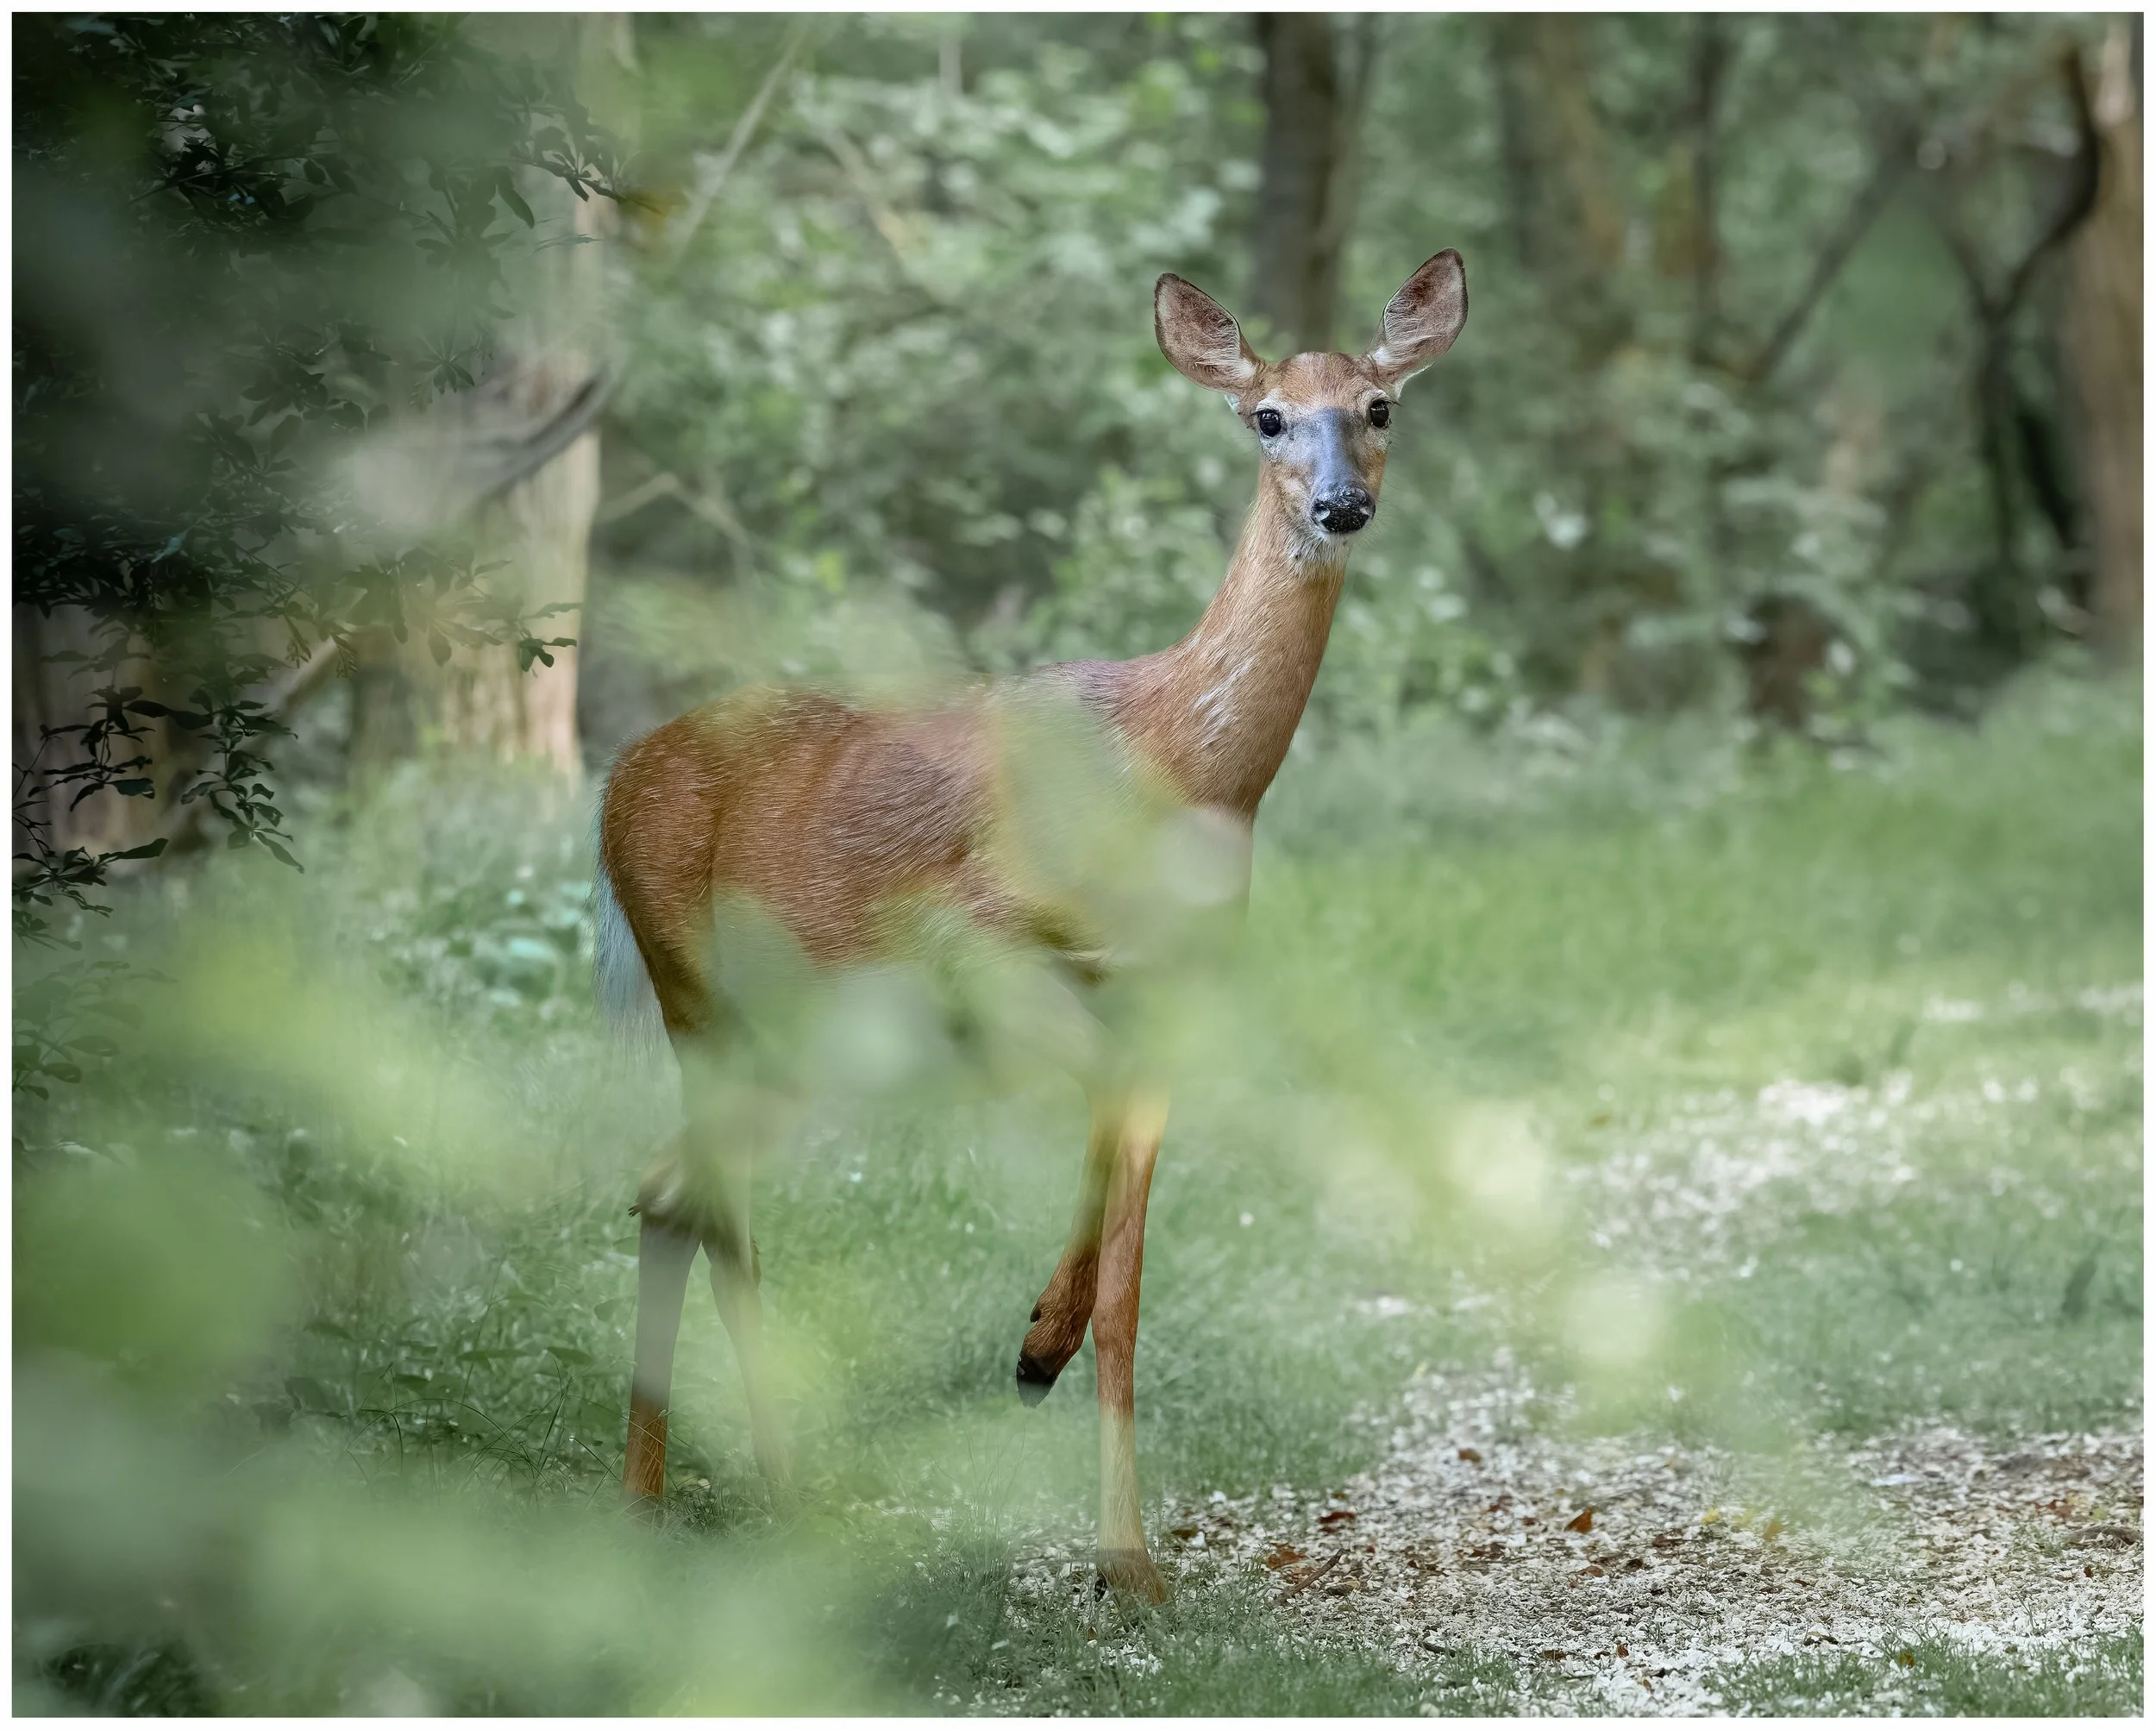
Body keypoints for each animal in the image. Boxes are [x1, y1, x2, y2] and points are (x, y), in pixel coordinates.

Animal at [593, 249, 1467, 1601]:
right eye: (1267, 415)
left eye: (1379, 408)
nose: (1340, 506)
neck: (1177, 770)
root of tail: (612, 782)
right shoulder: (982, 938)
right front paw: (1064, 1406)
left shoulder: (1173, 993)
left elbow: (1129, 1284)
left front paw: (1109, 1509)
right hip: (709, 993)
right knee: (685, 1191)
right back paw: (668, 1498)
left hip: (759, 1025)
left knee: (689, 1194)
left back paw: (745, 1489)